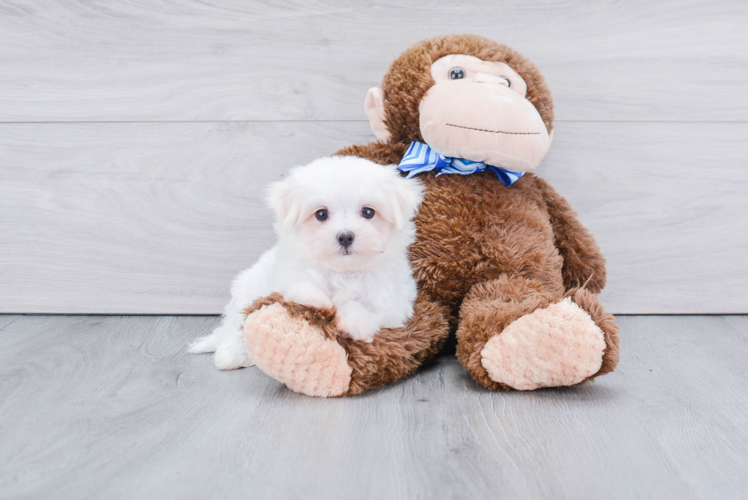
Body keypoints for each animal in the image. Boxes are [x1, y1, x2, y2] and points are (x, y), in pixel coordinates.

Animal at [190, 156, 424, 372]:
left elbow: (364, 308)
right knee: (235, 325)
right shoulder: (287, 274)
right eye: (321, 214)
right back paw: (231, 355)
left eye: (368, 212)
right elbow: (300, 286)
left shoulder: (392, 306)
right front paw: (315, 301)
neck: (342, 272)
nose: (345, 236)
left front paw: (352, 323)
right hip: (248, 289)